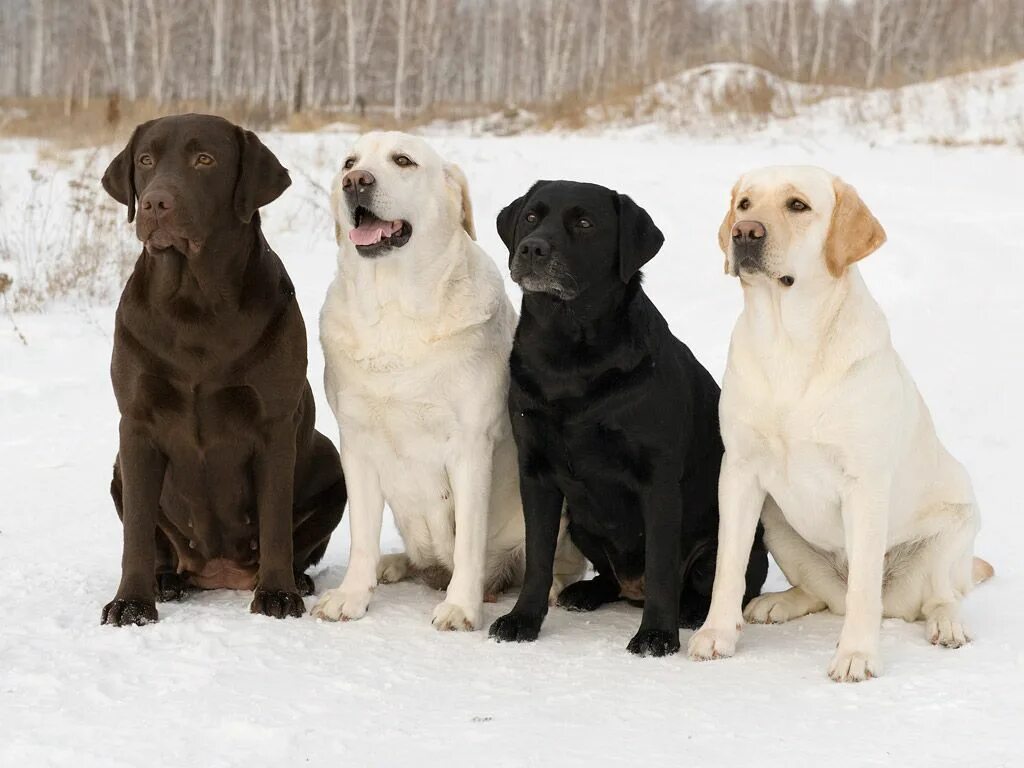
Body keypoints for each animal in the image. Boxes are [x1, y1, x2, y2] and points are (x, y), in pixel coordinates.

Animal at [100, 115, 348, 630]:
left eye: (204, 160)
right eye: (146, 160)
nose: (155, 202)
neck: (194, 304)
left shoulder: (274, 425)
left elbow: (274, 522)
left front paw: (277, 593)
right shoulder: (135, 426)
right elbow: (137, 530)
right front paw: (131, 602)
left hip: (332, 462)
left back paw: (296, 581)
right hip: (116, 469)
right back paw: (164, 581)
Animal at [311, 132, 585, 630]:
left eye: (403, 161)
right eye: (349, 163)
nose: (355, 182)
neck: (396, 308)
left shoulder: (471, 446)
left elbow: (468, 543)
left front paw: (460, 607)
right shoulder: (356, 444)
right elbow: (361, 534)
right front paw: (353, 595)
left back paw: (553, 587)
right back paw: (393, 564)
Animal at [489, 180, 770, 655]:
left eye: (585, 223)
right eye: (530, 216)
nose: (531, 248)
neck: (567, 355)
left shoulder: (657, 479)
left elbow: (660, 565)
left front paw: (656, 634)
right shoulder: (536, 472)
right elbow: (537, 558)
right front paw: (522, 619)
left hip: (729, 543)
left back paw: (690, 611)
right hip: (581, 524)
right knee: (610, 578)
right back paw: (585, 592)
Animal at [688, 166, 991, 679]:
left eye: (797, 205)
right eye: (745, 203)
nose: (744, 232)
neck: (787, 340)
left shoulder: (863, 484)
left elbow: (864, 590)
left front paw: (856, 655)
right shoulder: (739, 472)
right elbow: (728, 568)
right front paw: (717, 634)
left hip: (955, 527)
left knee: (935, 597)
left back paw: (948, 625)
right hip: (777, 523)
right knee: (827, 597)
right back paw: (777, 603)